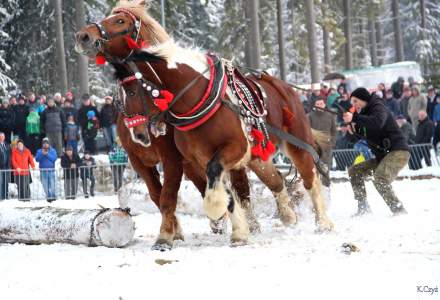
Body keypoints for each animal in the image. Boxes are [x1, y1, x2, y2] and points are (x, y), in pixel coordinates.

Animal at [75, 0, 334, 244]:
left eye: (120, 21)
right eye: (121, 93)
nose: (83, 36)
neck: (195, 97)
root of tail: (283, 86)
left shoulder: (211, 152)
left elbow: (183, 191)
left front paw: (179, 231)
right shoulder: (169, 159)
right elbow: (205, 190)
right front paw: (235, 231)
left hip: (296, 143)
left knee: (310, 178)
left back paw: (323, 223)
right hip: (256, 157)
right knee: (274, 181)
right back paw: (286, 216)